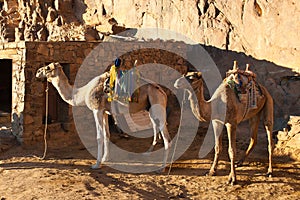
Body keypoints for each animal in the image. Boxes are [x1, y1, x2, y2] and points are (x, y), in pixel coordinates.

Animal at [35, 62, 171, 170]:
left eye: (47, 67)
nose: (37, 72)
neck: (83, 93)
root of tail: (162, 92)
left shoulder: (97, 110)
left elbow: (99, 136)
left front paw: (96, 164)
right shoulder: (105, 112)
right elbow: (107, 135)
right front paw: (106, 158)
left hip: (157, 106)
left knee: (167, 138)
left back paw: (162, 168)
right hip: (152, 110)